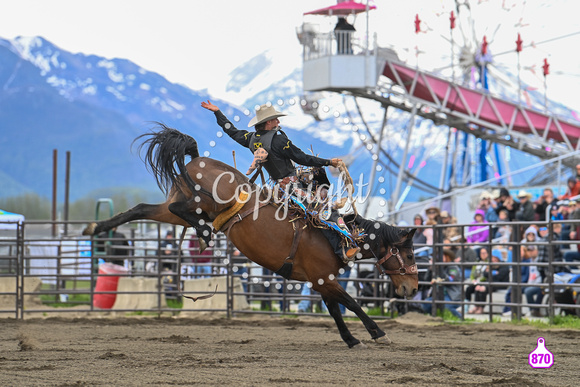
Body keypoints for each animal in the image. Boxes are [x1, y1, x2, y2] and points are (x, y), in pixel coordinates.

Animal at [82, 126, 416, 350]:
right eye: (411, 254)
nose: (412, 289)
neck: (337, 235)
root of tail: (197, 160)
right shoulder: (326, 279)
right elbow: (352, 303)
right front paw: (378, 333)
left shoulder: (320, 281)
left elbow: (335, 311)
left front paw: (351, 339)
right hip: (204, 202)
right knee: (179, 210)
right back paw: (204, 231)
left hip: (182, 207)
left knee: (141, 208)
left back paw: (94, 228)